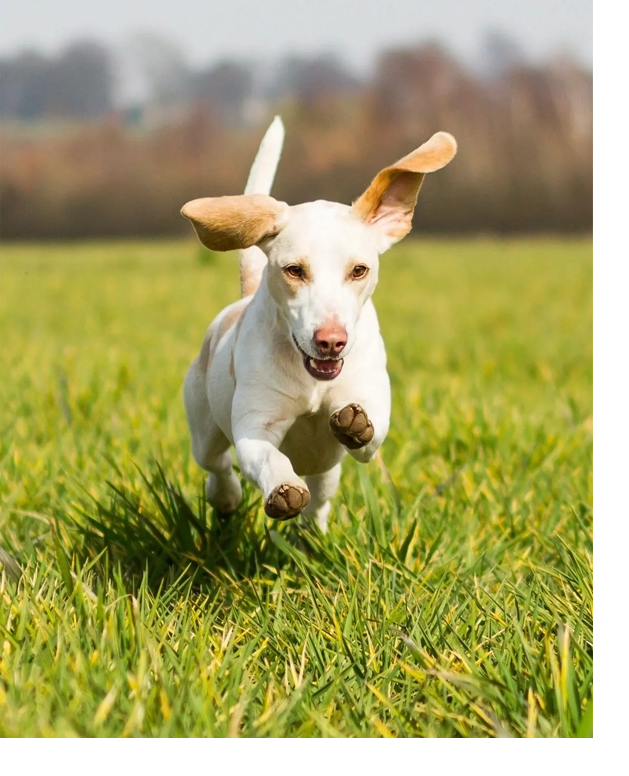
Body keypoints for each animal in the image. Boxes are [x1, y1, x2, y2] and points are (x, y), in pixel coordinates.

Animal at [182, 116, 456, 532]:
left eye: (359, 270)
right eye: (294, 270)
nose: (330, 341)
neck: (312, 381)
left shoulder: (370, 411)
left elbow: (369, 433)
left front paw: (356, 424)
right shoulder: (254, 428)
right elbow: (268, 457)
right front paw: (284, 490)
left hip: (327, 471)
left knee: (321, 500)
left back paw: (311, 532)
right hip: (204, 427)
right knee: (218, 467)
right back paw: (228, 498)